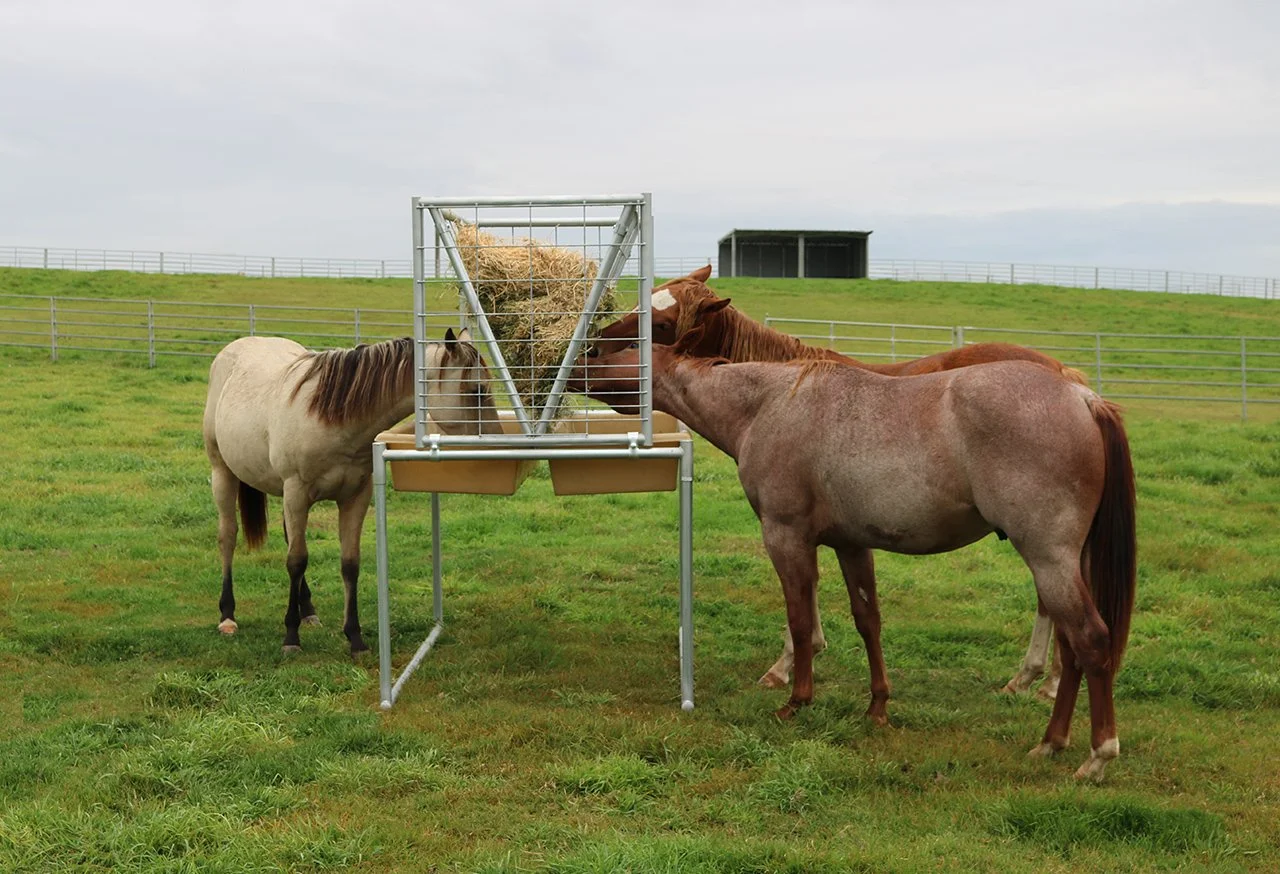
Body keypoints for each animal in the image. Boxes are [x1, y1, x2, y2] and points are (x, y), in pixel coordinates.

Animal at [203, 329, 502, 654]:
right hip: (223, 473)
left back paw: (308, 611)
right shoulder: (296, 492)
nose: (498, 439)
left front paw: (355, 638)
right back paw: (227, 615)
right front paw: (291, 638)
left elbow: (349, 563)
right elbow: (296, 561)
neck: (332, 420)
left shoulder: (355, 498)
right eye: (476, 391)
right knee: (228, 536)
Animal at [568, 332, 1136, 781]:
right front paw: (877, 707)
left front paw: (796, 700)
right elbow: (868, 621)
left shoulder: (786, 538)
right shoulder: (851, 543)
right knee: (1071, 650)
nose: (566, 367)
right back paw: (1051, 742)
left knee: (1090, 640)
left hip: (1048, 559)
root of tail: (1082, 395)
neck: (768, 404)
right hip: (1069, 564)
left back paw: (1097, 755)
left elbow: (800, 622)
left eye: (605, 347)